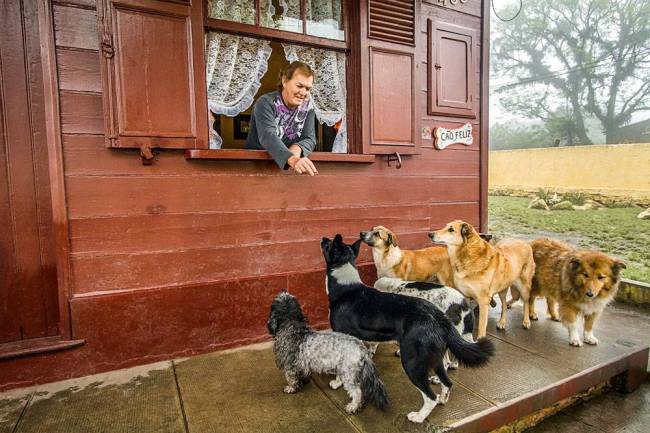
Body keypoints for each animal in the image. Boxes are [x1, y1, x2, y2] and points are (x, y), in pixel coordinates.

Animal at [318, 236, 492, 422]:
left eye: (329, 244)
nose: (323, 238)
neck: (346, 286)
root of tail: (439, 318)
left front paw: (337, 383)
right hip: (434, 358)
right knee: (447, 382)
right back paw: (443, 398)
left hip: (412, 362)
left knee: (430, 396)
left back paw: (419, 417)